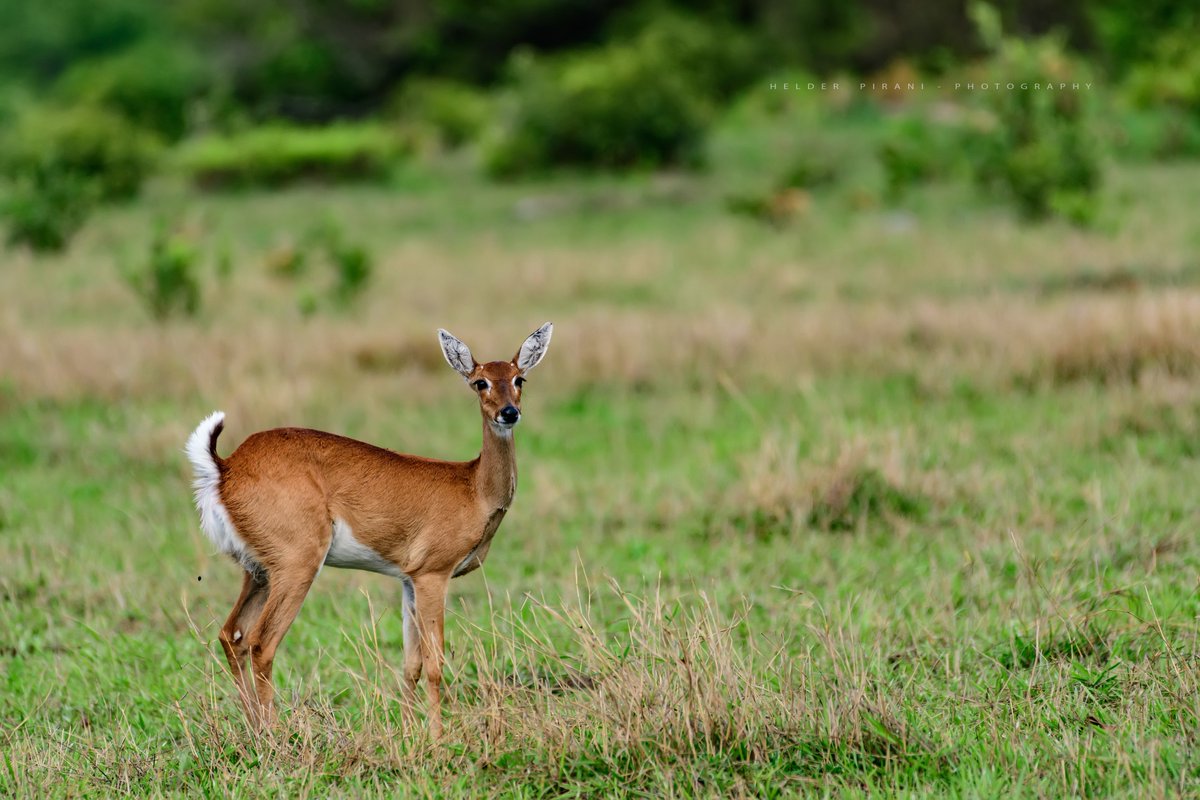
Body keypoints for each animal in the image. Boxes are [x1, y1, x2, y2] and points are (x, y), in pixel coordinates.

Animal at [185, 323, 553, 738]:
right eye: (480, 382)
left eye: (519, 378)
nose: (509, 412)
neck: (472, 487)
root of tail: (227, 467)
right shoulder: (433, 575)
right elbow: (435, 662)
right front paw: (438, 739)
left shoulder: (408, 580)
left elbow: (410, 664)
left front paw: (410, 734)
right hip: (297, 566)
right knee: (262, 642)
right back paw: (276, 735)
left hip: (259, 571)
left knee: (232, 636)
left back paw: (255, 730)